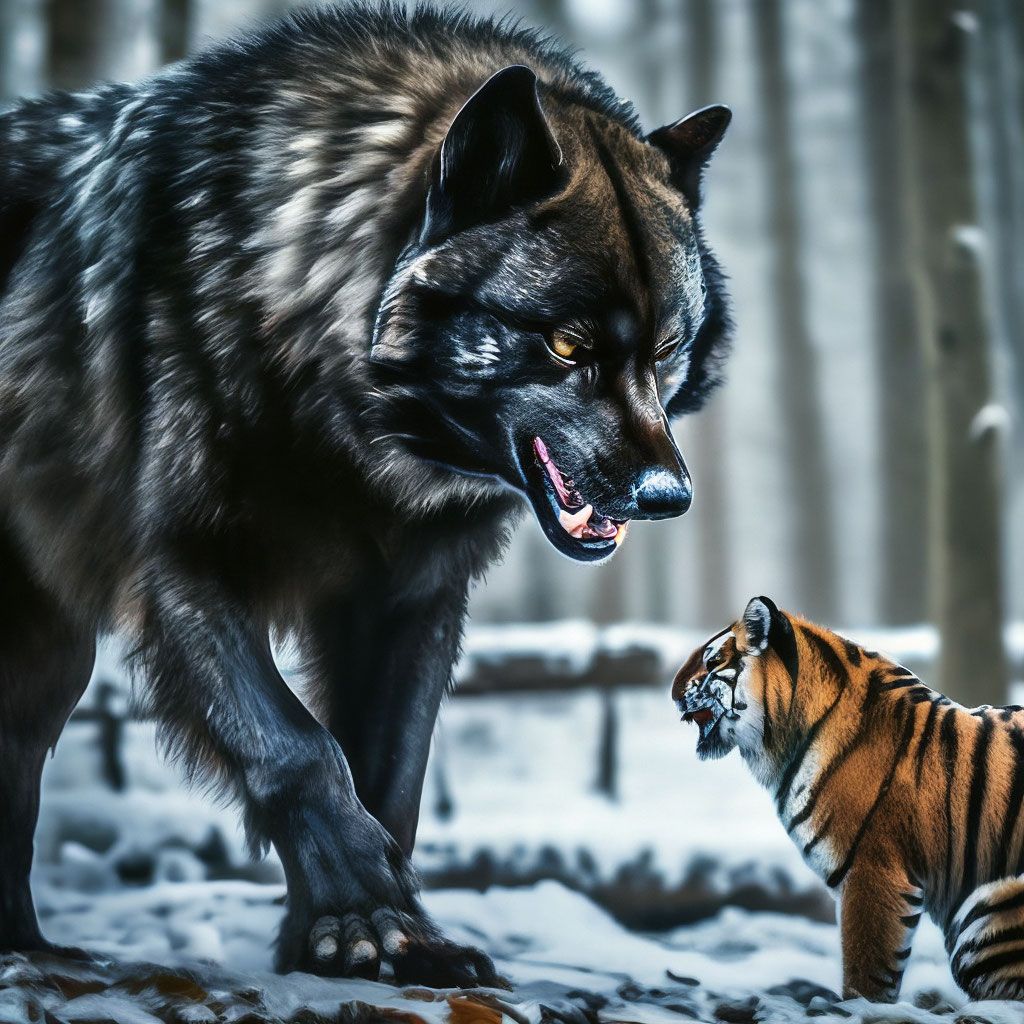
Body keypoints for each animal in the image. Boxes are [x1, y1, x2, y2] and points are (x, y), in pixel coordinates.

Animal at [0, 2, 731, 984]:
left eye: (665, 350)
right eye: (568, 345)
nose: (666, 496)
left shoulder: (409, 601)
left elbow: (389, 774)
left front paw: (367, 936)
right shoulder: (183, 567)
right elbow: (298, 751)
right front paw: (368, 922)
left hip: (50, 661)